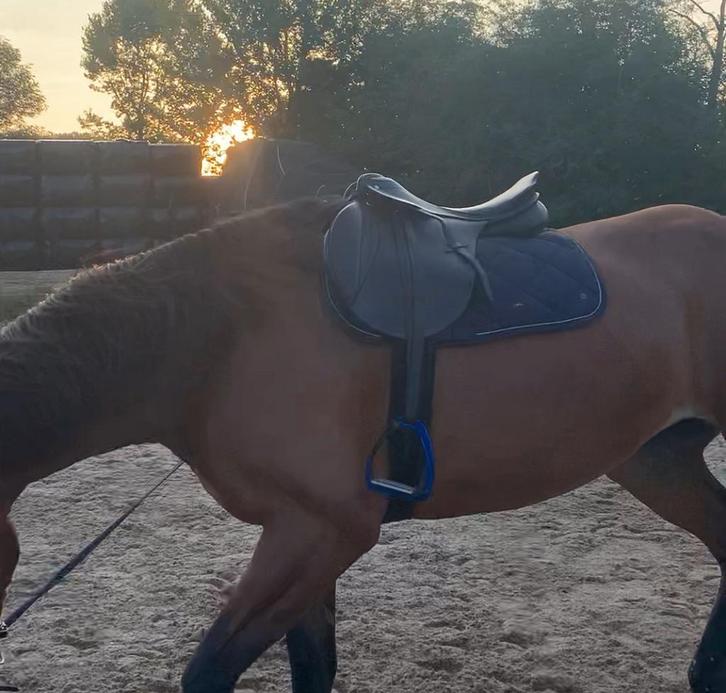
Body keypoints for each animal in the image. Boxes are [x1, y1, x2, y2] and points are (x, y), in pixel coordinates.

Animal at [1, 195, 726, 693]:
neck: (223, 344)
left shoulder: (324, 530)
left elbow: (209, 671)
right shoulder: (300, 533)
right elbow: (312, 669)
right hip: (656, 458)